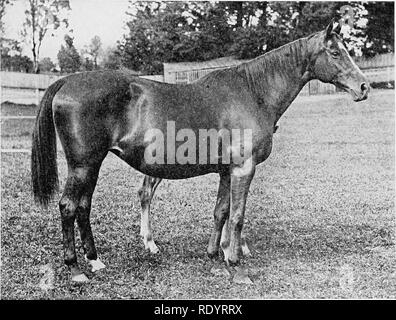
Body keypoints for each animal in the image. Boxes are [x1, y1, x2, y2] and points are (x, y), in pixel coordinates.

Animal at [31, 21, 368, 282]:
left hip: (91, 165)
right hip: (83, 165)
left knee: (84, 207)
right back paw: (76, 269)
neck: (253, 92)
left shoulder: (226, 171)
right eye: (335, 52)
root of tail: (66, 81)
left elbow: (221, 212)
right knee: (68, 206)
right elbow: (237, 216)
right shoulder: (243, 169)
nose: (364, 87)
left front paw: (214, 254)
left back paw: (95, 260)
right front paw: (236, 266)